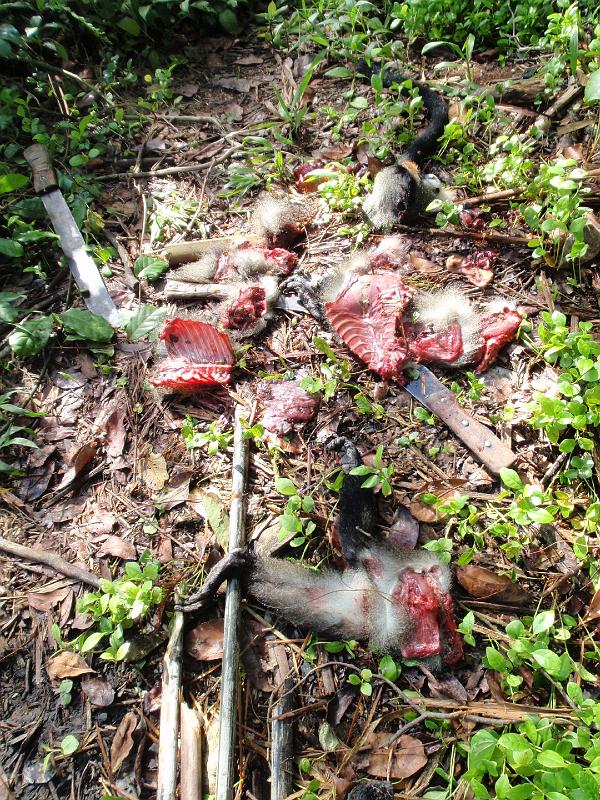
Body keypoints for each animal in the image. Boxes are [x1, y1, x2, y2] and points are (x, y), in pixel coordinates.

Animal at [177, 437, 463, 667]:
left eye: (435, 608)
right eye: (427, 601)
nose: (443, 642)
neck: (387, 593)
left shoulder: (366, 608)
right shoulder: (376, 562)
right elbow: (355, 536)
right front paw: (351, 459)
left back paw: (235, 565)